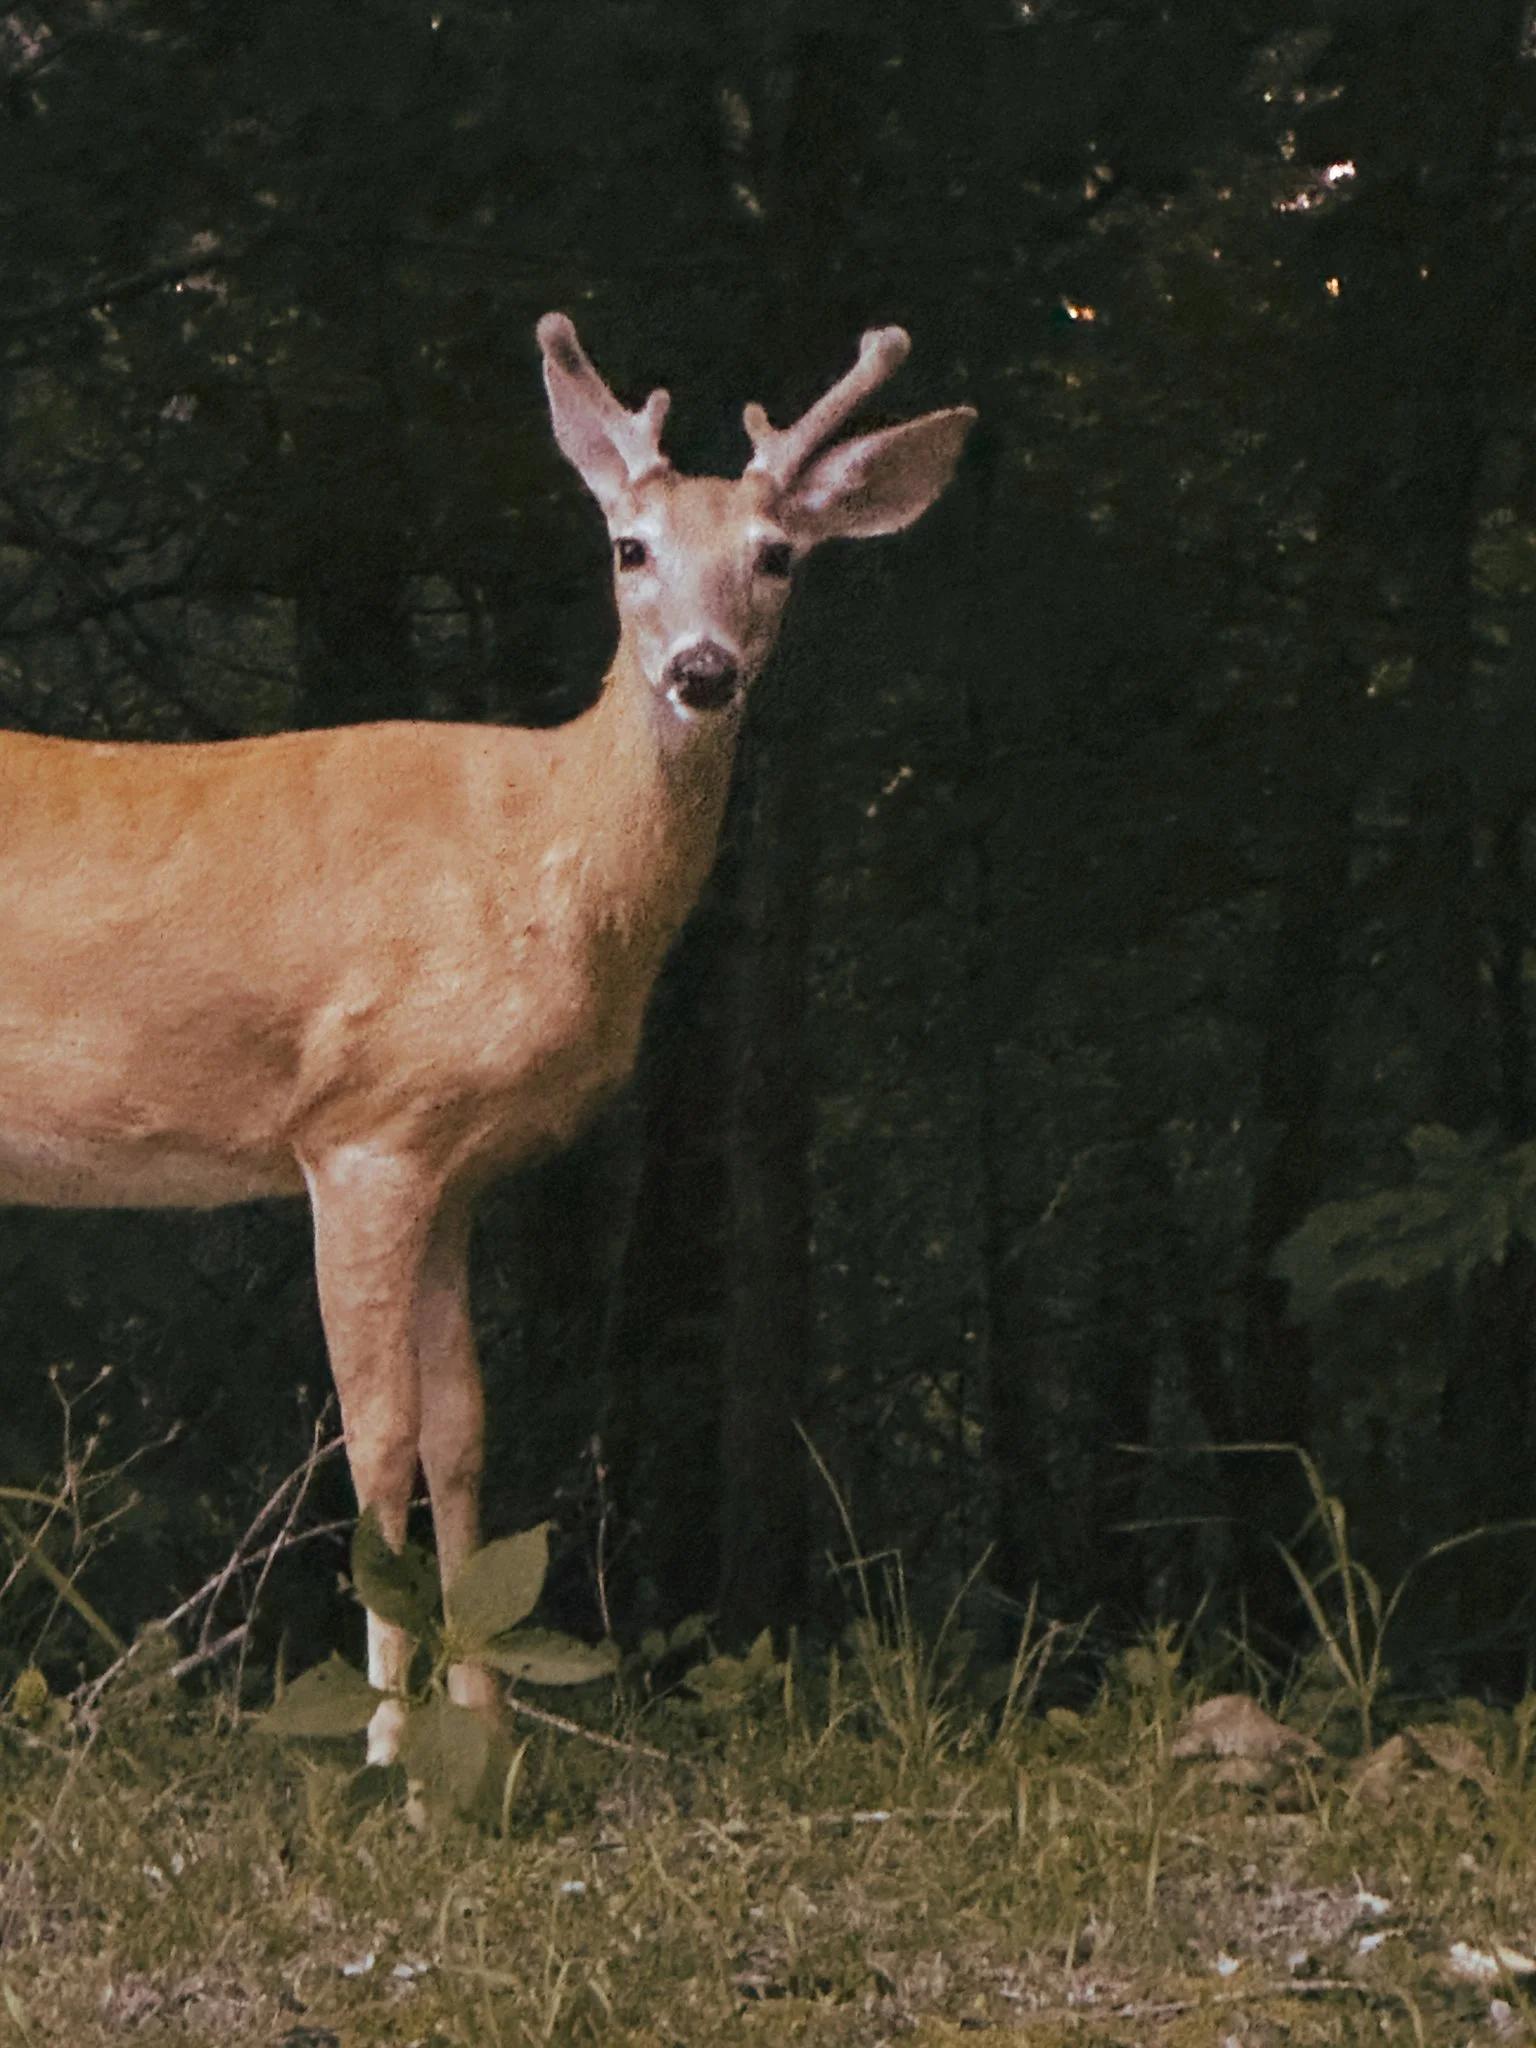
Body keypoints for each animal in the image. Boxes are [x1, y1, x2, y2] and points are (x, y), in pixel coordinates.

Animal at [0, 314, 974, 1762]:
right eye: (628, 547)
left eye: (779, 554)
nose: (702, 671)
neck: (533, 853)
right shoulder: (358, 1128)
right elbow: (376, 1446)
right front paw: (390, 1755)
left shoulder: (456, 1167)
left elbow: (462, 1435)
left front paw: (494, 1745)